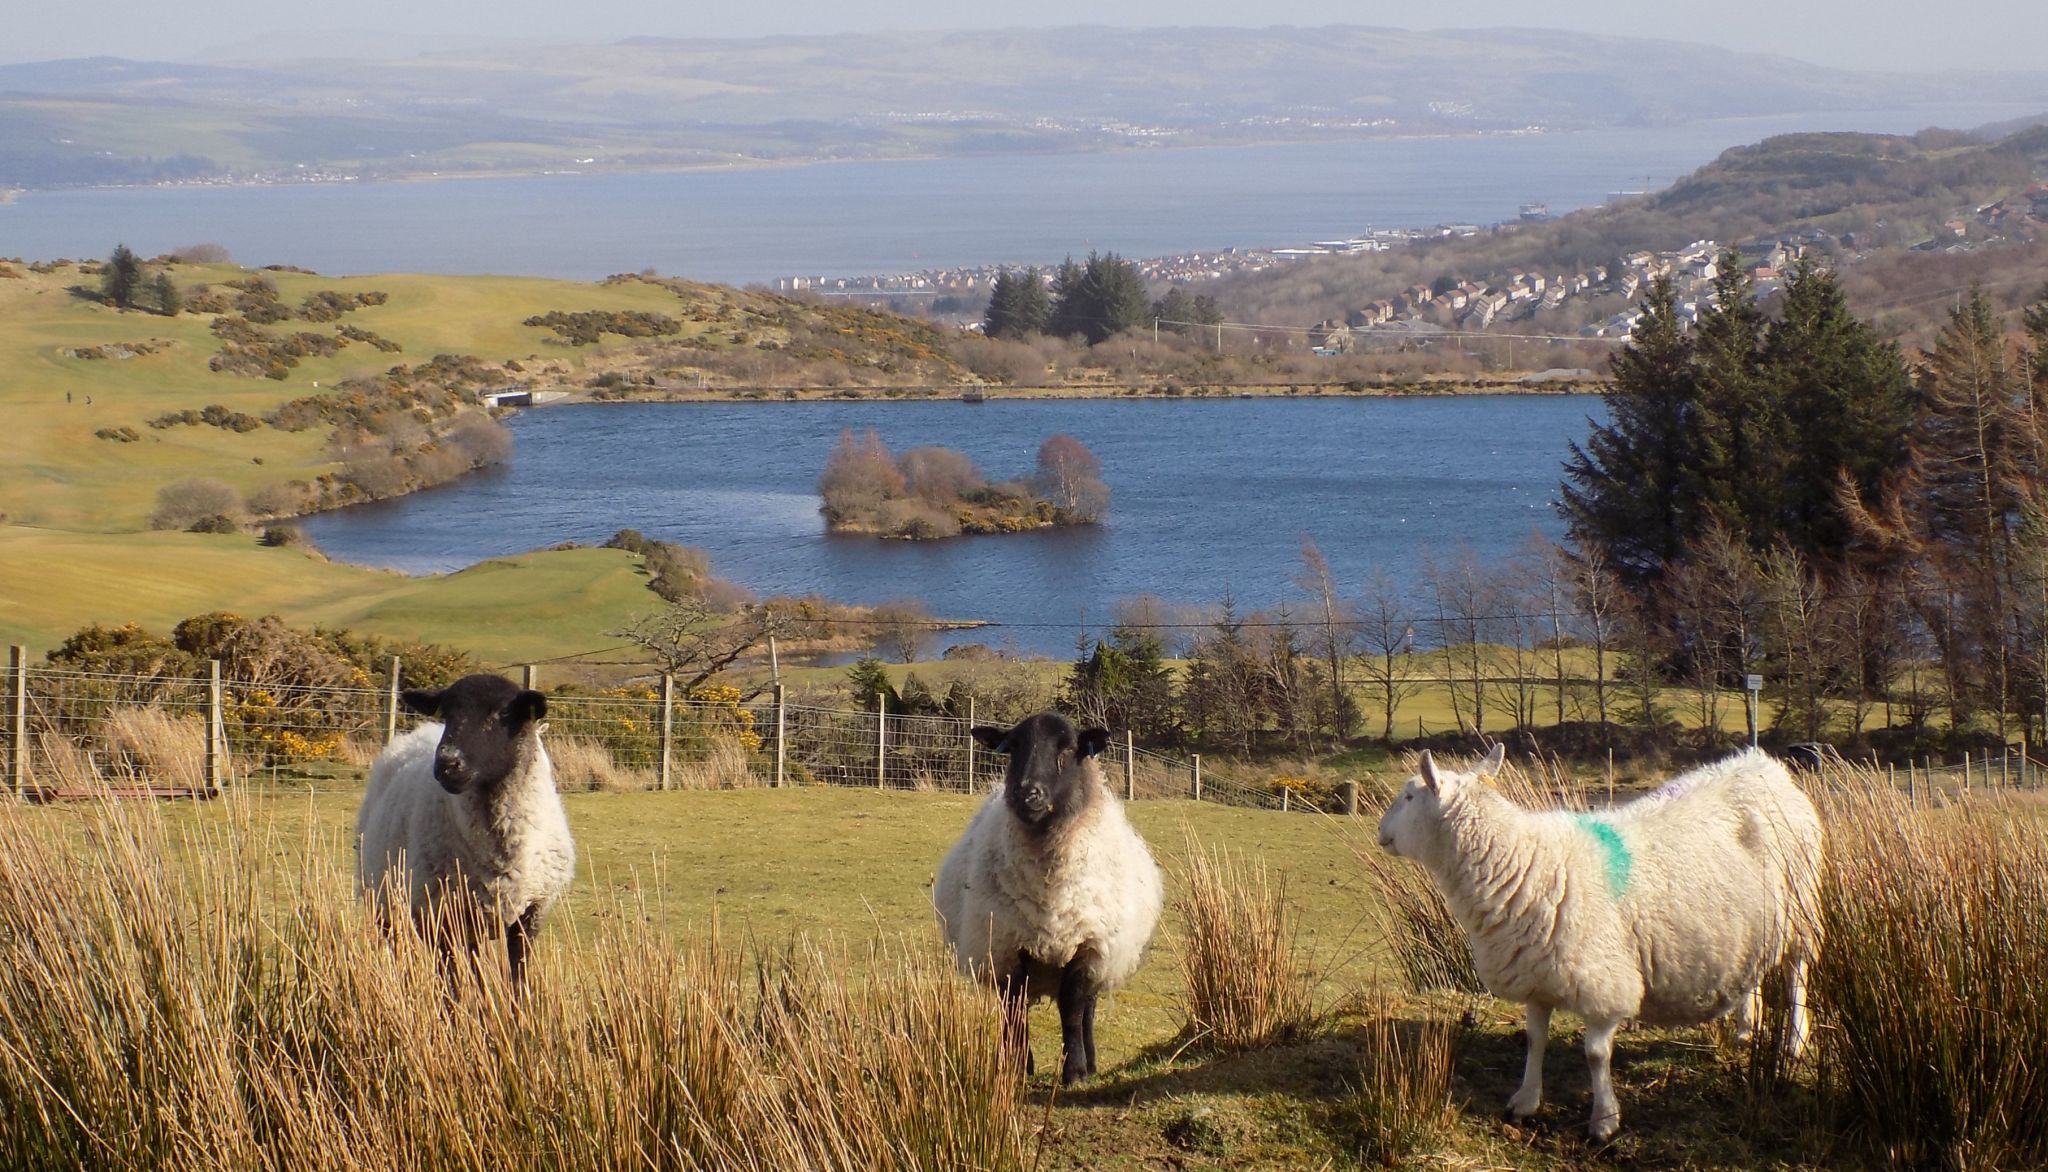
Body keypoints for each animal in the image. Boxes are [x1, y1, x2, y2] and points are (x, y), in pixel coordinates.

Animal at [358, 672, 577, 983]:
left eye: (503, 712)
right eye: (447, 712)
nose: (448, 764)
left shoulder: (533, 912)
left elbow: (518, 980)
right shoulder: (438, 915)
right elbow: (455, 984)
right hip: (384, 902)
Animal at [933, 713, 1163, 1090]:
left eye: (1068, 748)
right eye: (1012, 747)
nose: (1026, 792)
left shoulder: (1087, 946)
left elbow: (1072, 1010)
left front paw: (1076, 1072)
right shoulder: (1007, 948)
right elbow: (1014, 1011)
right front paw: (1014, 1068)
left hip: (1102, 956)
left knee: (1087, 1009)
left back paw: (1091, 1061)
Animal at [1376, 745, 1826, 1139]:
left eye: (1410, 795)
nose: (1381, 832)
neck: (1524, 862)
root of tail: (1762, 764)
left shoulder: (1604, 982)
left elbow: (1595, 1054)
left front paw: (1604, 1120)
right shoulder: (1537, 976)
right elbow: (1535, 1039)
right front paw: (1525, 1101)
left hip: (1800, 909)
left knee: (1796, 973)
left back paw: (1794, 1041)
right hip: (1751, 923)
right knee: (1754, 972)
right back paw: (1746, 1030)